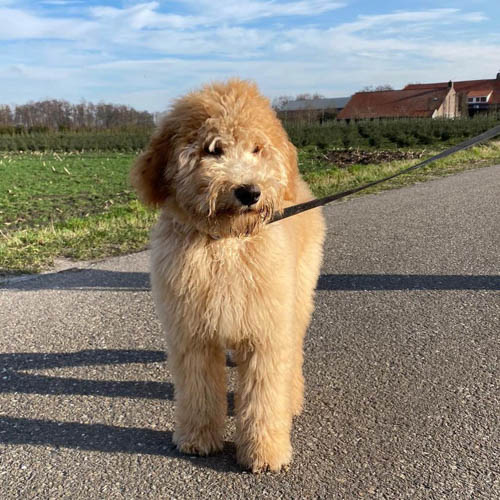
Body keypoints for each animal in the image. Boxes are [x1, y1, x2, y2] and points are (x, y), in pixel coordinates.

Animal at [130, 79, 324, 472]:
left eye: (257, 149)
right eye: (213, 149)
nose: (250, 191)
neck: (225, 243)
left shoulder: (266, 331)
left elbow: (264, 395)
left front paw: (265, 452)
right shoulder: (192, 335)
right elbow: (199, 390)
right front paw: (198, 439)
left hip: (297, 296)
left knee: (293, 352)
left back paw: (292, 398)